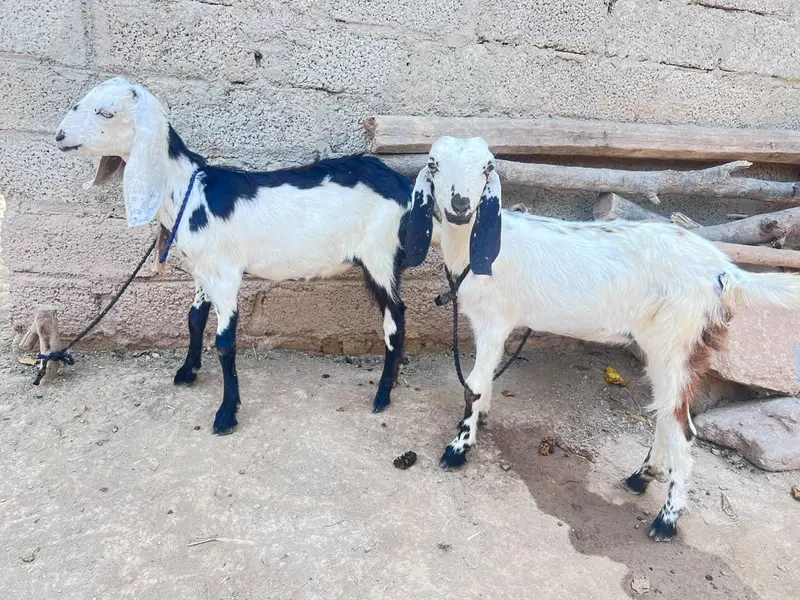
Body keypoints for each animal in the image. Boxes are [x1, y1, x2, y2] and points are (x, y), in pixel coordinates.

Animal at [55, 76, 416, 433]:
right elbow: (194, 319)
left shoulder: (225, 274)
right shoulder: (202, 271)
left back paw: (383, 395)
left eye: (106, 112)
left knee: (395, 317)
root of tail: (399, 182)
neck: (190, 191)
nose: (59, 136)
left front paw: (226, 413)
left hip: (379, 255)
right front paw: (188, 371)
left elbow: (225, 341)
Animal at [403, 136, 800, 541]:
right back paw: (642, 477)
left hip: (678, 341)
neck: (476, 248)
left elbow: (473, 385)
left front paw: (458, 448)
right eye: (433, 164)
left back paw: (666, 520)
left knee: (683, 430)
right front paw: (479, 421)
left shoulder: (494, 321)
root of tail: (724, 272)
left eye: (488, 168)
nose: (460, 206)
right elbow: (483, 383)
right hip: (664, 345)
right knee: (665, 412)